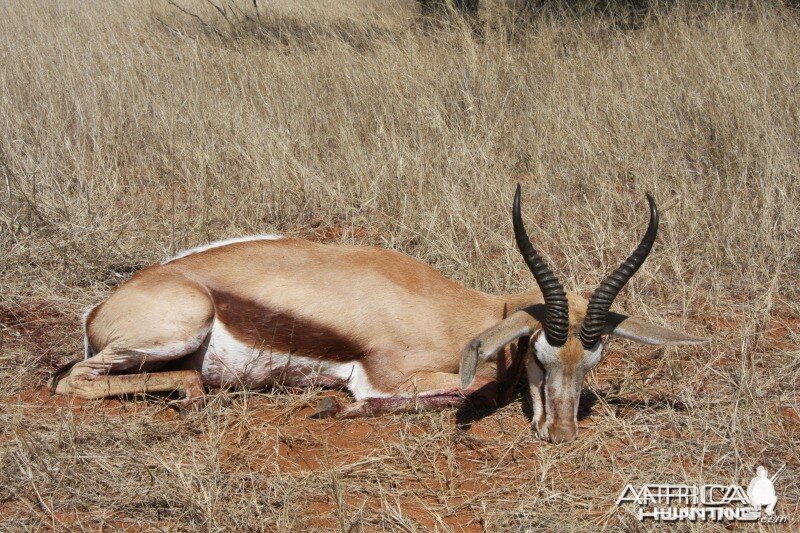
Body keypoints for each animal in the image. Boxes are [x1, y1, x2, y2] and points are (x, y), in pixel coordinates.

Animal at [50, 185, 704, 442]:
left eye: (591, 362)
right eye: (542, 357)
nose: (561, 434)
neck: (461, 311)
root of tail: (100, 307)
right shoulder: (386, 376)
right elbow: (473, 387)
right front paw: (332, 406)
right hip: (177, 328)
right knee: (71, 381)